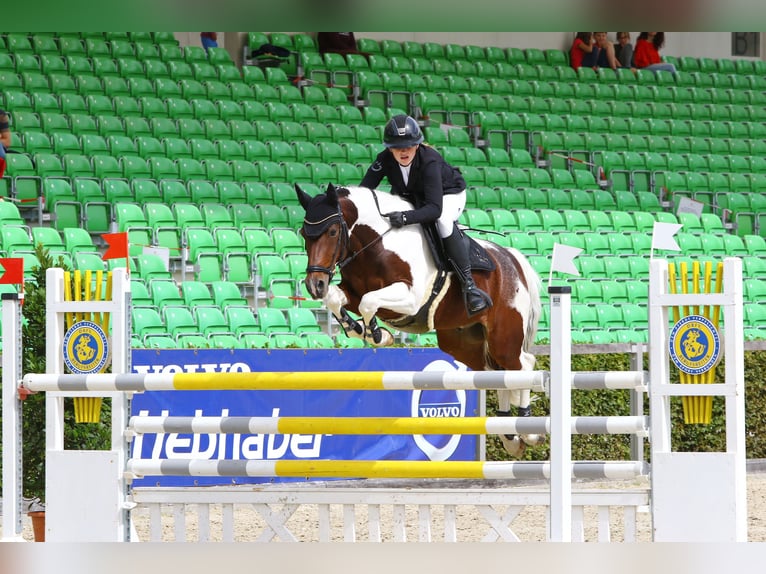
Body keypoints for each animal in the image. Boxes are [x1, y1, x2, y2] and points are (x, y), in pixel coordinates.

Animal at [296, 184, 544, 460]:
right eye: (304, 233)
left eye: (332, 231)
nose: (314, 285)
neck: (375, 244)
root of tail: (512, 259)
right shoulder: (353, 292)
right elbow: (336, 299)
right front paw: (358, 329)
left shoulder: (409, 299)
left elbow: (368, 303)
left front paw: (378, 334)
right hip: (463, 344)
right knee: (498, 373)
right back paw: (510, 435)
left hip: (503, 336)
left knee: (522, 364)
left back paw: (529, 432)